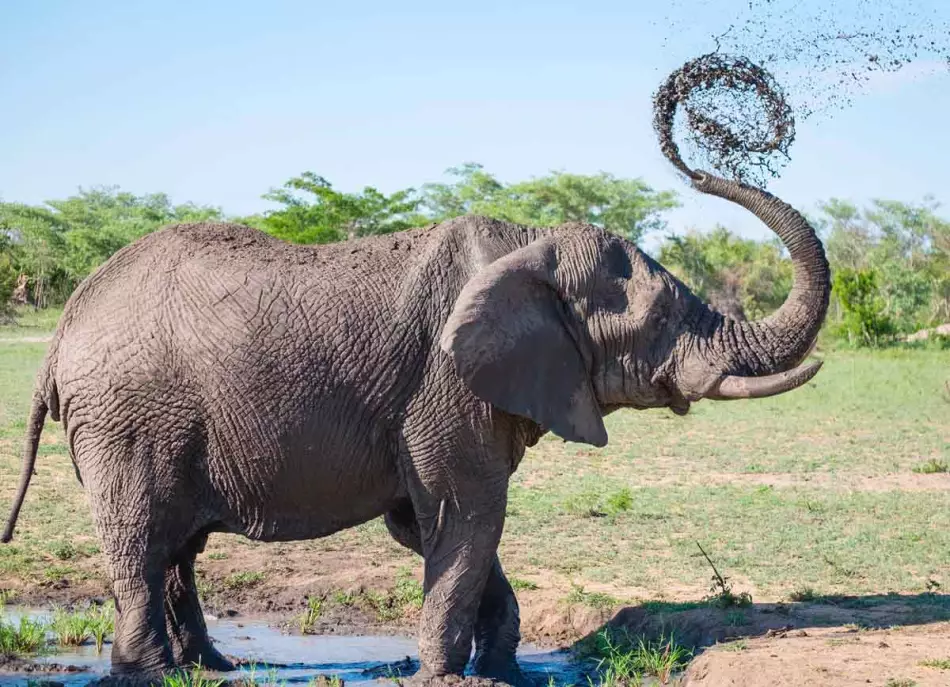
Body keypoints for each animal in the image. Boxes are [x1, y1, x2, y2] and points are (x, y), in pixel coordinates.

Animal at [0, 165, 828, 684]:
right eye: (657, 321)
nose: (693, 163)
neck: (527, 243)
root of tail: (64, 328)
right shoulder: (444, 384)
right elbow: (468, 513)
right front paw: (445, 675)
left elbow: (435, 525)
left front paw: (501, 670)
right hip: (126, 419)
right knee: (141, 539)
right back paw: (149, 674)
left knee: (179, 547)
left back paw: (207, 667)